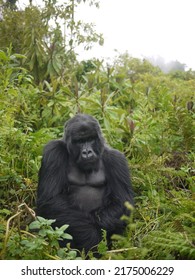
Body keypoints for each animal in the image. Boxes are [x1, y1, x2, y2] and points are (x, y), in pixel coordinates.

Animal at [36, 112, 134, 253]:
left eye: (91, 139)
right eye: (80, 141)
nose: (87, 152)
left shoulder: (117, 160)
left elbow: (122, 203)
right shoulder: (53, 151)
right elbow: (51, 200)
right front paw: (91, 238)